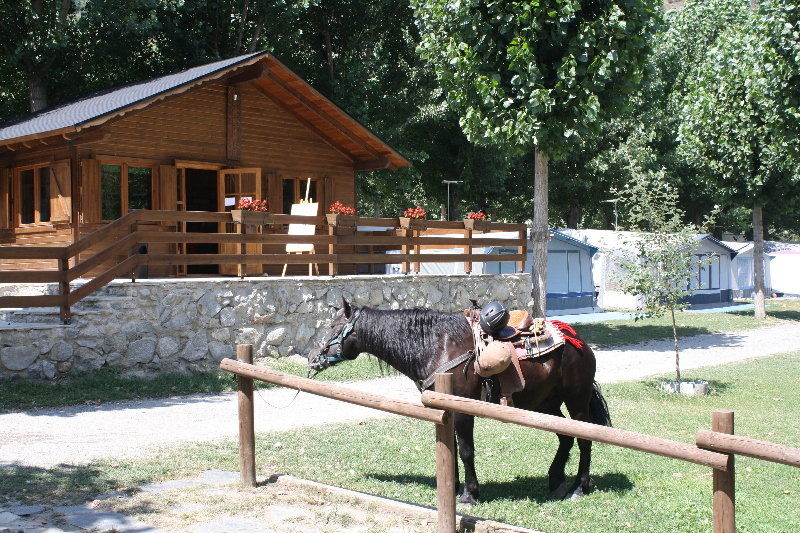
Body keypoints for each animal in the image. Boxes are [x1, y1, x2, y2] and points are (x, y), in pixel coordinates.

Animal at [308, 300, 612, 502]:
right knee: (565, 436)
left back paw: (579, 487)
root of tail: (577, 341)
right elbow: (450, 447)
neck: (435, 346)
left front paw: (469, 494)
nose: (312, 357)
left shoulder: (464, 409)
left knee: (585, 439)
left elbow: (466, 450)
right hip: (545, 404)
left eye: (333, 326)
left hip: (576, 400)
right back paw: (556, 480)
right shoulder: (446, 410)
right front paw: (452, 486)